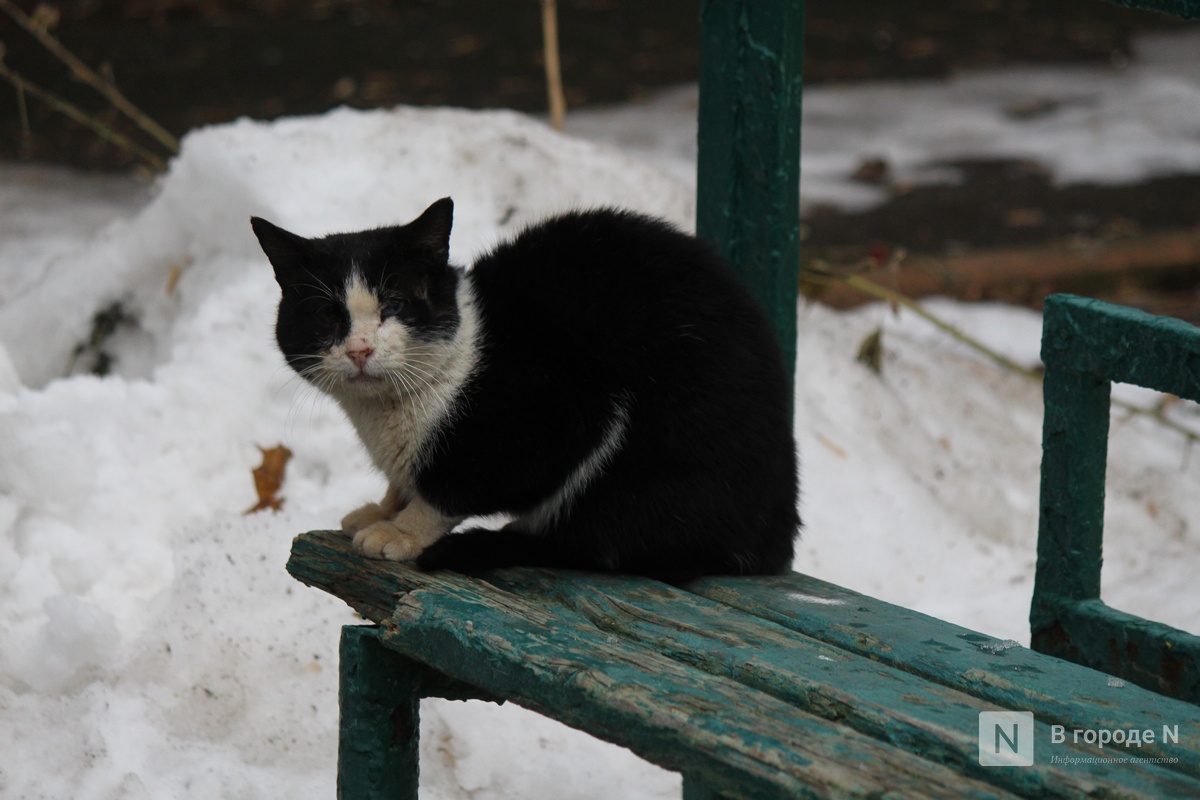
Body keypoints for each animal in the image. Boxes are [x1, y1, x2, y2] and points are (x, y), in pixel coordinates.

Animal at [250, 196, 796, 578]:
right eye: (328, 315)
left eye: (395, 306)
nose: (360, 350)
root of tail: (777, 531)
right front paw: (383, 508)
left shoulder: (553, 413)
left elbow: (452, 489)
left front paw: (402, 531)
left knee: (602, 545)